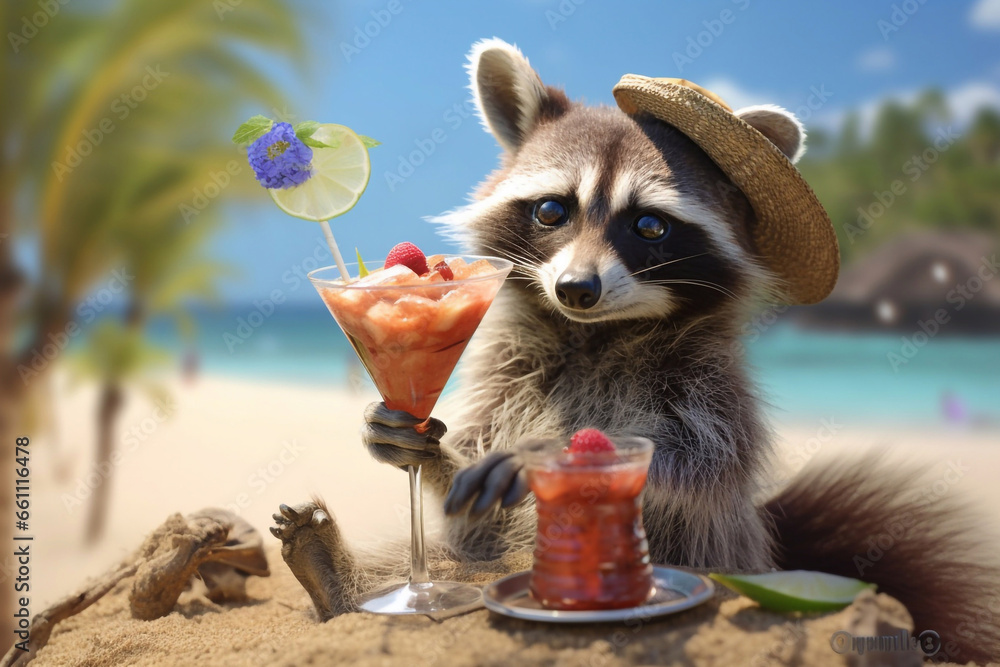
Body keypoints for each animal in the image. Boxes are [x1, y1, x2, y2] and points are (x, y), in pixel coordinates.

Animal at [272, 39, 1000, 664]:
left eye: (649, 225)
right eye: (551, 211)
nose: (576, 288)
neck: (597, 333)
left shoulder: (709, 381)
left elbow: (700, 463)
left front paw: (556, 457)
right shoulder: (509, 369)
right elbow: (469, 509)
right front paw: (429, 449)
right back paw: (336, 576)